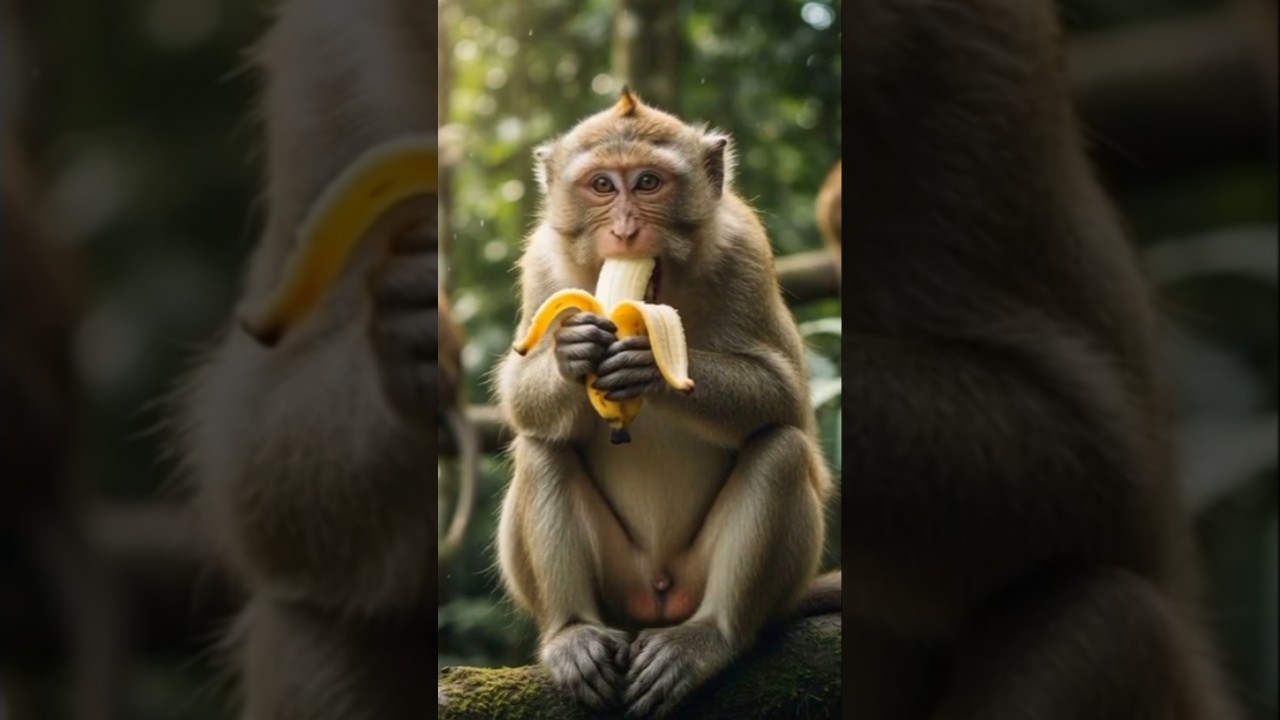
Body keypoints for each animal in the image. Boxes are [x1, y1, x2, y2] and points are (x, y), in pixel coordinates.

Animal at [493, 88, 837, 718]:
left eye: (648, 182)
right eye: (603, 186)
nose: (627, 230)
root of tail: (654, 596)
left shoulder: (745, 249)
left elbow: (785, 394)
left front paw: (647, 364)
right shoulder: (543, 262)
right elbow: (520, 396)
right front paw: (573, 351)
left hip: (706, 580)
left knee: (780, 448)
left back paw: (709, 637)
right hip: (618, 581)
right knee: (540, 449)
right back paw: (571, 633)